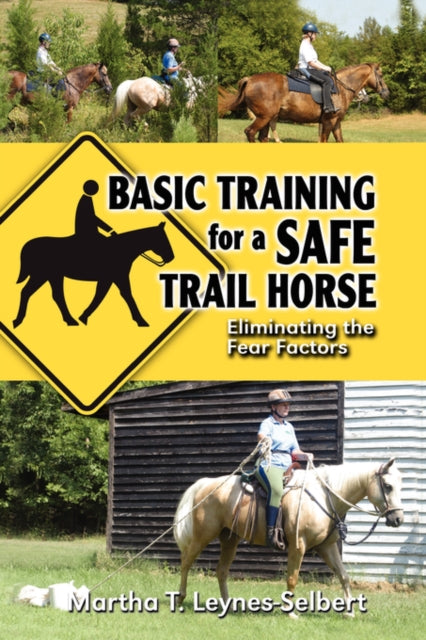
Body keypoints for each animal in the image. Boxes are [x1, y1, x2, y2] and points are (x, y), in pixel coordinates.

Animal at [13, 221, 174, 329]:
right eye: (163, 238)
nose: (171, 257)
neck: (122, 248)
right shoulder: (117, 277)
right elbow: (124, 295)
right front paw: (141, 321)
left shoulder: (109, 278)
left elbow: (101, 295)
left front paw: (83, 317)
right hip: (42, 275)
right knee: (28, 292)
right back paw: (18, 321)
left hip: (51, 276)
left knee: (53, 295)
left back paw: (69, 320)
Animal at [173, 457, 403, 616]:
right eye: (388, 486)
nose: (398, 519)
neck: (324, 498)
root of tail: (206, 484)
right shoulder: (298, 546)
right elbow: (292, 579)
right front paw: (291, 612)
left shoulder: (327, 547)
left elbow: (344, 576)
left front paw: (350, 612)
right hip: (203, 535)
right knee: (186, 562)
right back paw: (180, 598)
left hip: (229, 539)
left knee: (221, 571)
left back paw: (228, 606)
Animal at [218, 62, 389, 142]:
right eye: (380, 75)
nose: (386, 93)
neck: (341, 87)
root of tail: (250, 79)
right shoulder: (328, 121)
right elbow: (323, 141)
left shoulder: (336, 122)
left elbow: (340, 141)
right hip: (264, 117)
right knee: (250, 133)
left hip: (266, 118)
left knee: (263, 137)